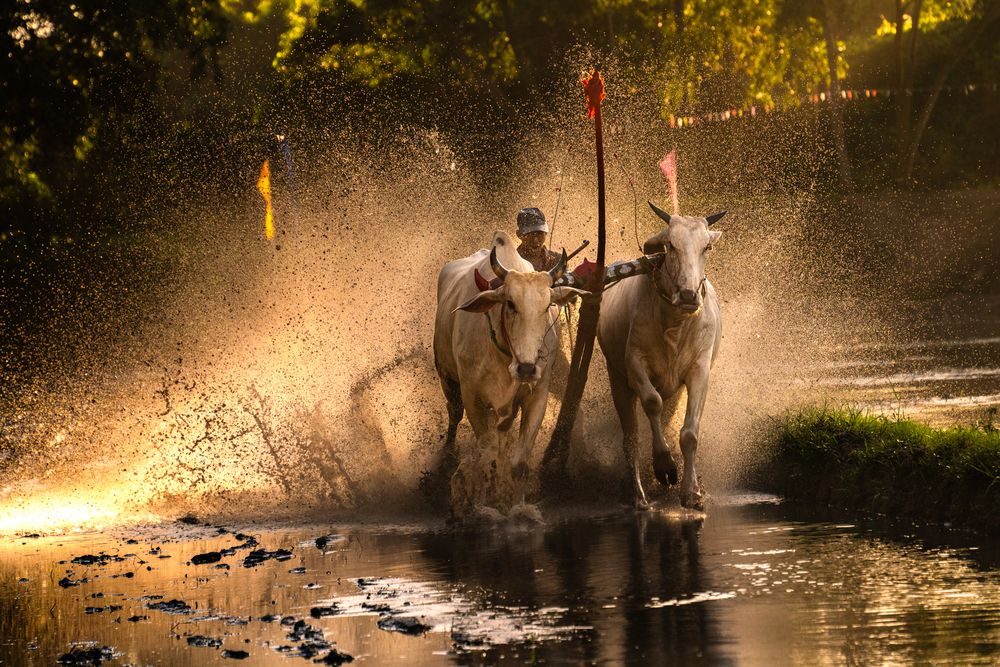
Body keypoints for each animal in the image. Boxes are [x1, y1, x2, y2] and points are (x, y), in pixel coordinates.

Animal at [434, 231, 587, 517]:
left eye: (548, 305)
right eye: (511, 303)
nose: (526, 368)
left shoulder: (537, 396)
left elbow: (519, 463)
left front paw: (518, 508)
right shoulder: (473, 398)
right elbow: (488, 459)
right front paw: (483, 507)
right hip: (446, 377)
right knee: (453, 416)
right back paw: (446, 460)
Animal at [597, 201, 727, 510]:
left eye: (707, 246)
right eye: (670, 245)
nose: (690, 295)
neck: (674, 324)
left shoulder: (699, 372)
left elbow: (690, 433)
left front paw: (691, 492)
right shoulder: (634, 364)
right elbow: (651, 402)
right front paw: (664, 465)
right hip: (617, 379)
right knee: (630, 438)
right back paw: (639, 496)